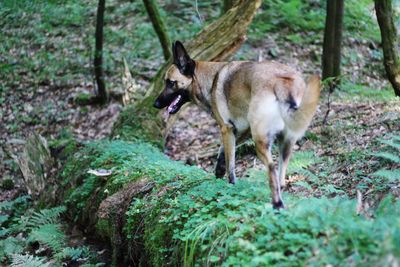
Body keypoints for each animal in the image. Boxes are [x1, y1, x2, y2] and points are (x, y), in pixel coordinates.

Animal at [152, 41, 320, 209]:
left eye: (170, 82)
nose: (156, 104)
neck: (210, 79)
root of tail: (281, 81)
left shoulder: (226, 129)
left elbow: (230, 166)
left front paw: (229, 185)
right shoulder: (241, 131)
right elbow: (222, 151)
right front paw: (219, 170)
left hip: (260, 140)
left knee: (271, 169)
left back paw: (277, 204)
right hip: (285, 143)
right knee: (281, 175)